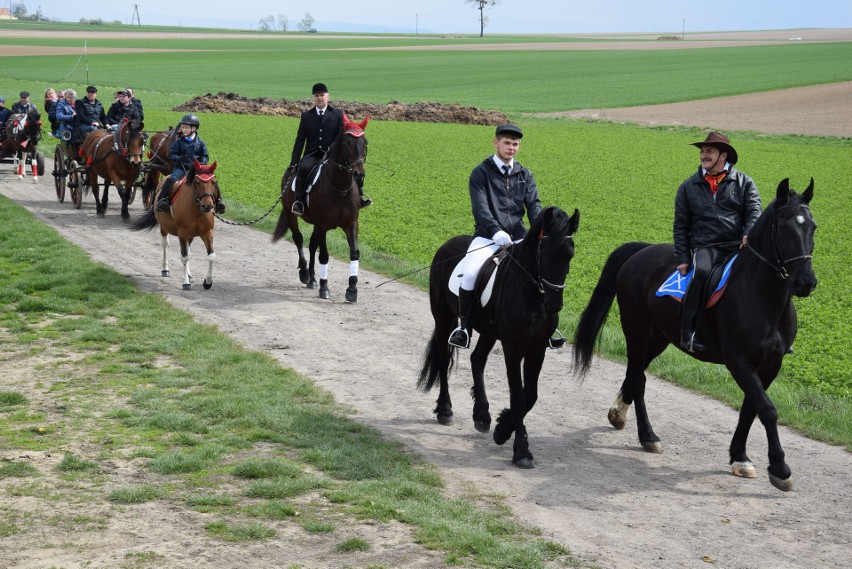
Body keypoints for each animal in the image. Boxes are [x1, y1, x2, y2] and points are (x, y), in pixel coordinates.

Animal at [130, 160, 218, 290]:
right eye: (197, 182)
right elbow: (184, 256)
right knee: (165, 245)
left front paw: (207, 282)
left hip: (190, 235)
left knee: (188, 249)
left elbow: (211, 256)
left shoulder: (207, 232)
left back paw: (189, 274)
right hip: (164, 227)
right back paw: (165, 269)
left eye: (214, 182)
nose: (207, 206)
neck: (196, 210)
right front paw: (186, 282)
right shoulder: (182, 233)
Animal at [272, 113, 368, 304]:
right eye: (348, 142)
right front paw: (325, 288)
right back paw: (305, 274)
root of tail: (291, 170)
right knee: (299, 239)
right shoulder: (323, 225)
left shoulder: (351, 223)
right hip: (291, 215)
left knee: (311, 245)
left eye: (365, 142)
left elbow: (354, 253)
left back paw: (313, 279)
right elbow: (324, 255)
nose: (359, 175)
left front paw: (352, 289)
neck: (340, 187)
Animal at [418, 206, 580, 468]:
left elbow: (530, 395)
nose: (554, 305)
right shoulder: (513, 347)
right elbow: (518, 396)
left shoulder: (537, 347)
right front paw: (521, 450)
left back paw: (482, 415)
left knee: (476, 359)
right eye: (544, 253)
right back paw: (445, 411)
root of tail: (447, 244)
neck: (531, 292)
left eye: (570, 254)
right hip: (443, 318)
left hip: (488, 331)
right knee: (443, 359)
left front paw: (502, 429)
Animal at [576, 180, 816, 490]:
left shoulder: (771, 365)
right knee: (638, 378)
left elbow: (750, 409)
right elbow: (767, 409)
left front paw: (740, 457)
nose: (806, 282)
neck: (764, 298)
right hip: (637, 329)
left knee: (635, 373)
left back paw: (618, 414)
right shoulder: (739, 362)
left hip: (659, 337)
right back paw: (648, 436)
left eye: (812, 226)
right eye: (784, 226)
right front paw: (780, 468)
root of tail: (642, 251)